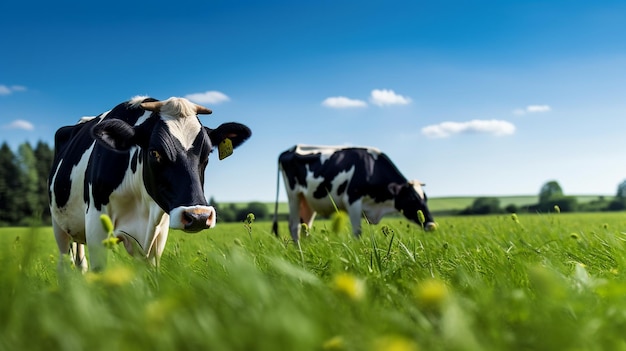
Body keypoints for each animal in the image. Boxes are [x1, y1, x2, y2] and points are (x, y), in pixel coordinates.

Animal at [48, 96, 251, 272]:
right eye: (154, 152)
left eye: (207, 153)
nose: (199, 216)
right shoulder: (96, 228)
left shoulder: (157, 237)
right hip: (58, 225)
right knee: (64, 263)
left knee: (80, 262)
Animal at [270, 144, 436, 242]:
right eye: (412, 198)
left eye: (426, 198)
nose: (432, 225)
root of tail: (290, 149)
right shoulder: (353, 200)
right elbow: (357, 232)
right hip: (293, 196)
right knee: (294, 227)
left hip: (308, 202)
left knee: (306, 227)